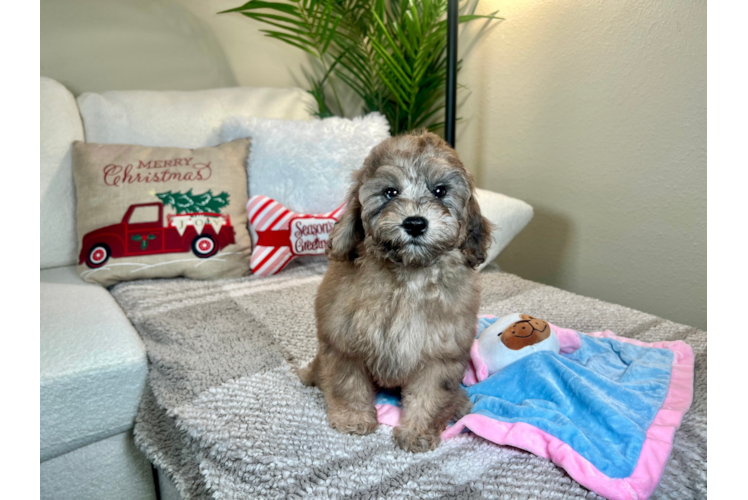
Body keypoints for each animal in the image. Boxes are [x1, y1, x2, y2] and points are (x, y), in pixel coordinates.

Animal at [298, 129, 490, 454]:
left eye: (440, 191)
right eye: (390, 193)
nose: (415, 223)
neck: (407, 278)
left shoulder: (440, 352)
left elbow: (431, 394)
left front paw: (417, 432)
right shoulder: (344, 342)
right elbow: (347, 383)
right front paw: (352, 418)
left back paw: (460, 401)